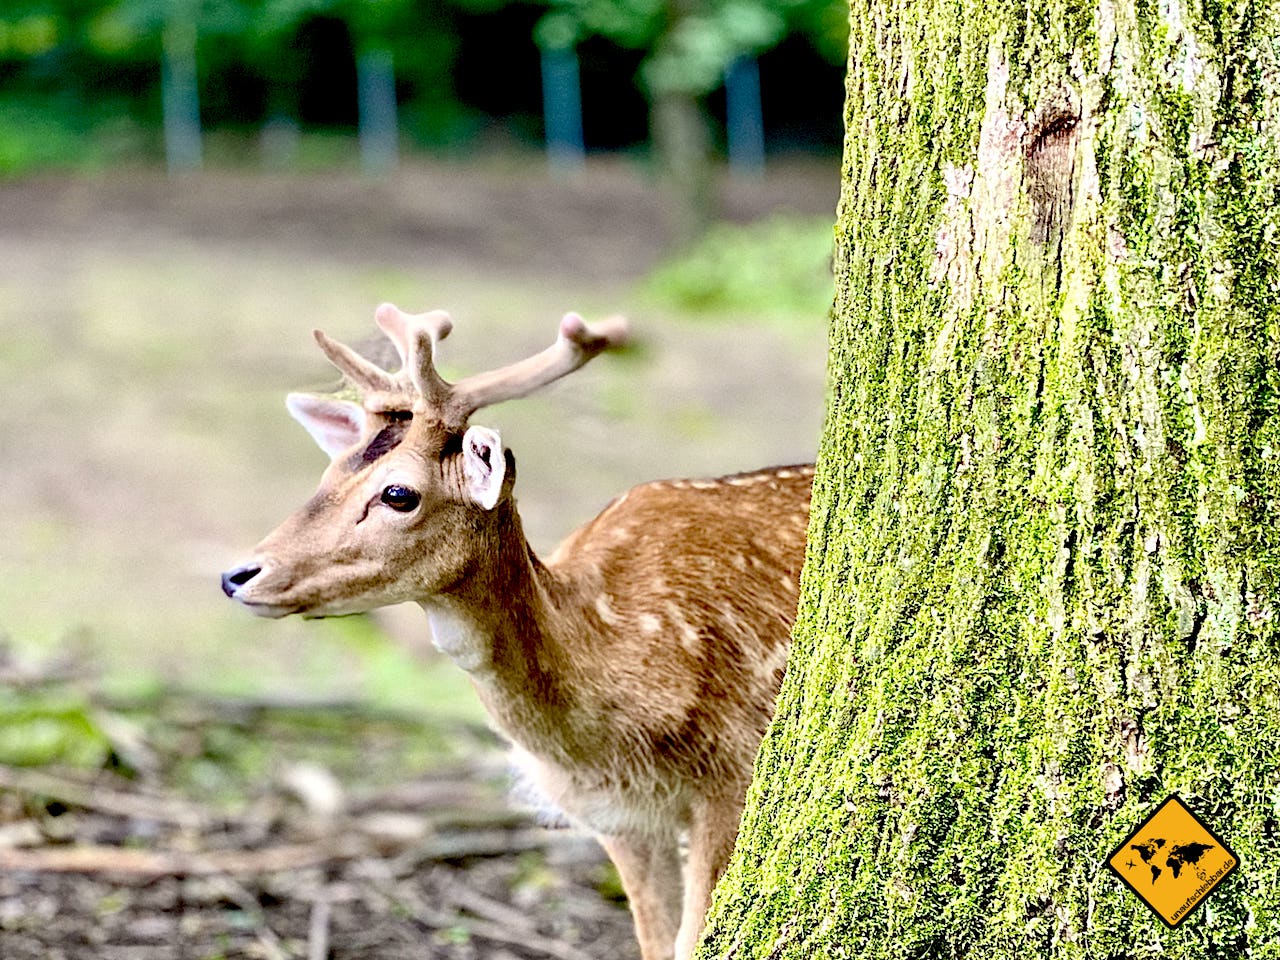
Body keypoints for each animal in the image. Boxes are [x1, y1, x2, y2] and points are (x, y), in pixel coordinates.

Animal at [221, 302, 814, 960]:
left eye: (398, 493)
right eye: (328, 472)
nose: (238, 574)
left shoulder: (731, 776)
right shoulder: (618, 818)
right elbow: (655, 943)